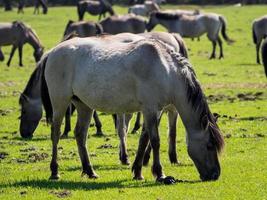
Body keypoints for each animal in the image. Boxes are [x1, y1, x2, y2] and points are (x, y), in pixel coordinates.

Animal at [39, 35, 224, 183]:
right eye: (209, 145)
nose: (215, 175)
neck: (165, 68)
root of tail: (52, 52)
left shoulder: (154, 111)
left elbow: (144, 139)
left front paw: (138, 171)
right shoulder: (150, 109)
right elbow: (155, 141)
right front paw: (160, 174)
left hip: (83, 105)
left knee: (80, 135)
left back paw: (90, 171)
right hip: (60, 102)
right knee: (55, 133)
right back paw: (55, 171)